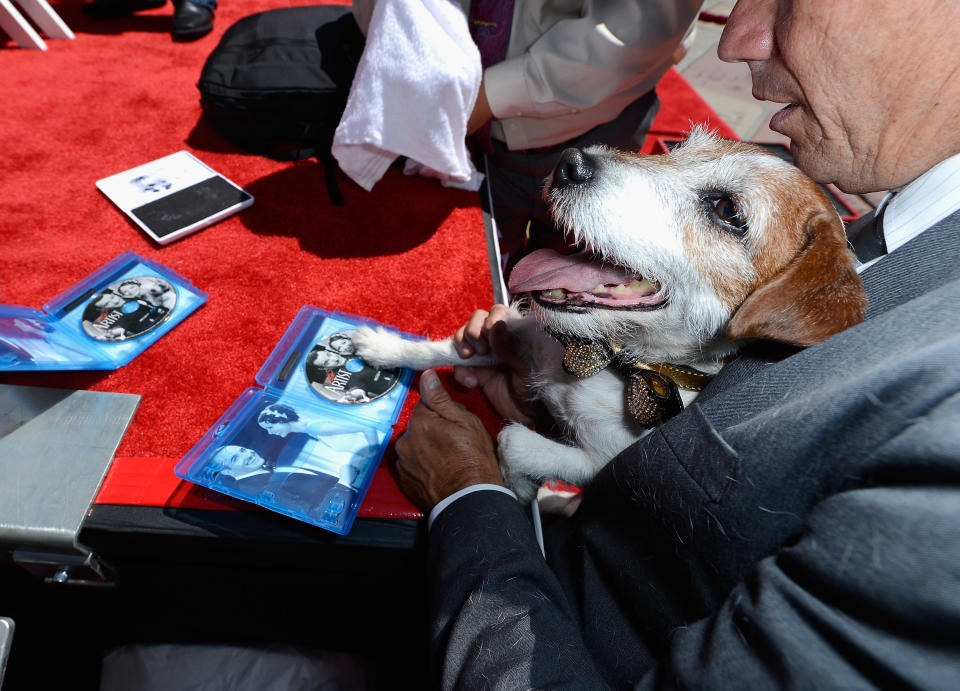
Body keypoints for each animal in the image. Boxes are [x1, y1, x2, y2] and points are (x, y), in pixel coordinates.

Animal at [348, 130, 868, 500]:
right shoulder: (514, 336)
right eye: (678, 149)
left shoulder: (597, 466)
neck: (611, 360)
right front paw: (385, 348)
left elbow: (512, 442)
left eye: (726, 210)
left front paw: (517, 489)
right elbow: (446, 348)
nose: (569, 164)